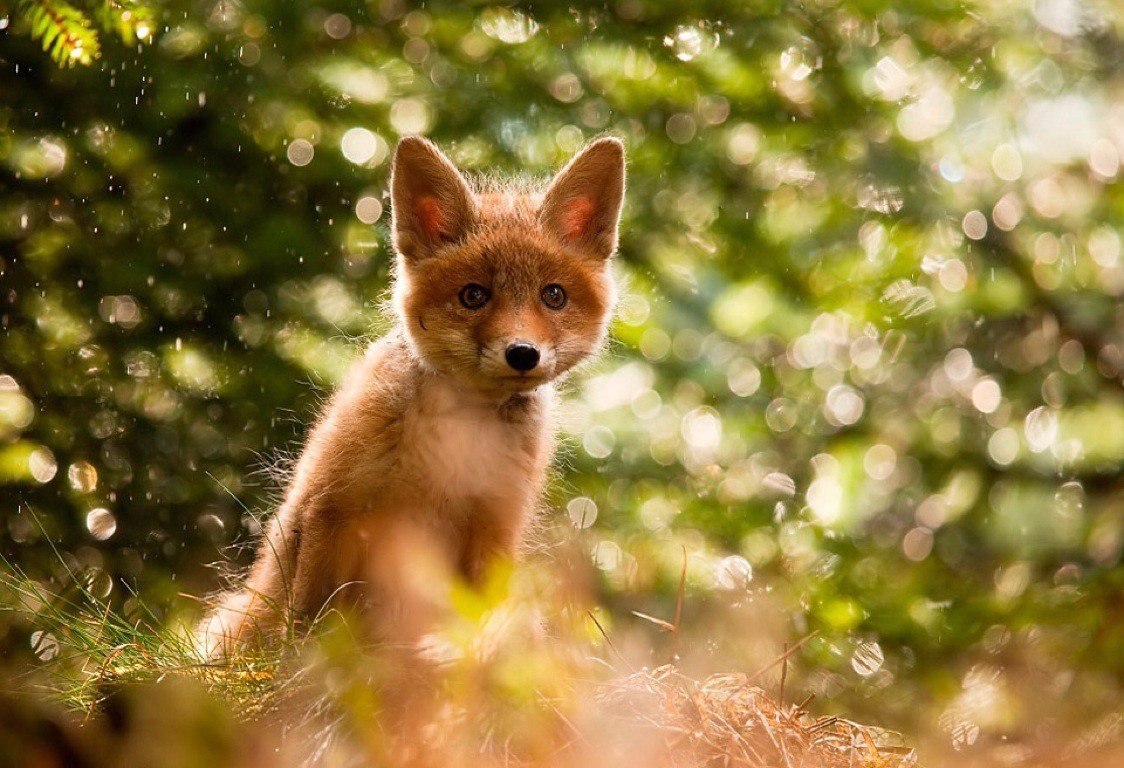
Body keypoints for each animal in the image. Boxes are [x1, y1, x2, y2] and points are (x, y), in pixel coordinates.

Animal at [201, 134, 624, 656]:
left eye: (554, 296)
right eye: (473, 296)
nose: (523, 353)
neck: (455, 437)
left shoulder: (495, 527)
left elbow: (479, 627)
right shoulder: (330, 506)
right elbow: (309, 623)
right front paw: (302, 666)